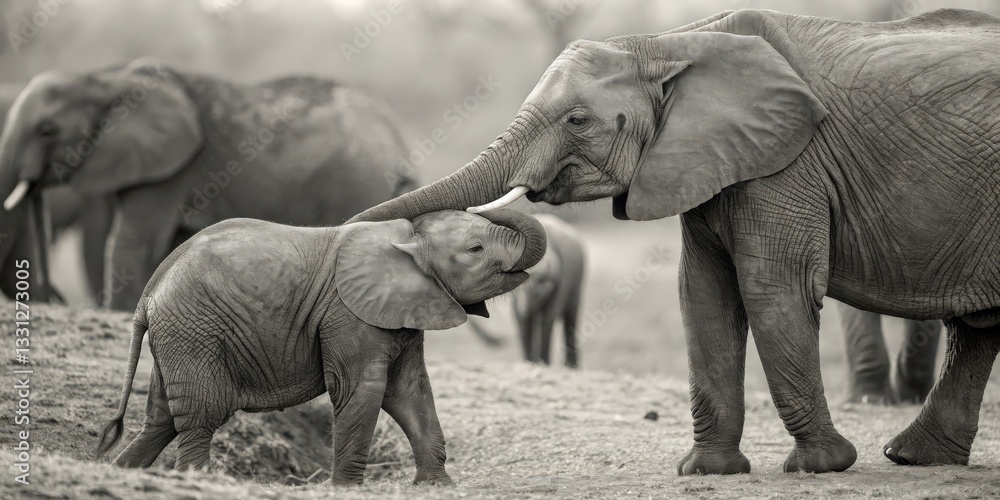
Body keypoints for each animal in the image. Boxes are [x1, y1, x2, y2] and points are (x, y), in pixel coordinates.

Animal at [0, 59, 418, 311]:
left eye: (46, 130)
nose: (47, 297)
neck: (106, 78)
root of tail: (399, 142)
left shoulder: (171, 170)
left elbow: (135, 241)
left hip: (355, 183)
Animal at [95, 208, 546, 485]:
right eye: (475, 250)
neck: (404, 238)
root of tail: (150, 292)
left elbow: (410, 391)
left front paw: (437, 486)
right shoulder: (348, 315)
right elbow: (361, 390)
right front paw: (346, 489)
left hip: (178, 336)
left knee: (161, 420)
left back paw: (119, 472)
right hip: (194, 332)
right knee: (200, 415)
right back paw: (198, 478)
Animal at [348, 9, 1000, 474]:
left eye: (577, 120)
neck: (669, 44)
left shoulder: (788, 162)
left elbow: (772, 288)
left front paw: (822, 466)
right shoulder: (709, 158)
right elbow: (703, 293)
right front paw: (707, 471)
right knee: (978, 329)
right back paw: (913, 457)